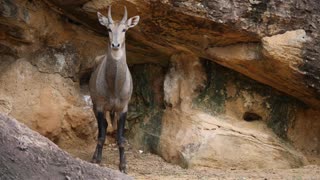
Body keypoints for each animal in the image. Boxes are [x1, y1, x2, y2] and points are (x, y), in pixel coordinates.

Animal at [90, 4, 140, 172]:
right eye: (108, 29)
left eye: (124, 29)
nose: (116, 45)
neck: (114, 88)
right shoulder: (99, 106)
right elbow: (101, 135)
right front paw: (97, 160)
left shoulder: (123, 108)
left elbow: (121, 138)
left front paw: (123, 165)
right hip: (95, 106)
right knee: (103, 128)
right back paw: (95, 156)